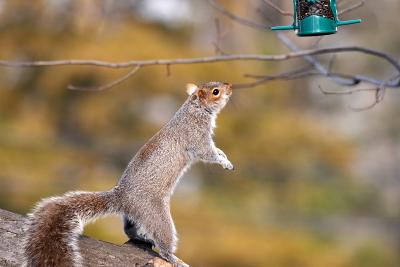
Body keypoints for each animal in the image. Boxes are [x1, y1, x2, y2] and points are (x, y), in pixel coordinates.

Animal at [22, 82, 234, 267]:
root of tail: (121, 197)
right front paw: (224, 161)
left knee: (129, 229)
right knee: (163, 243)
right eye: (215, 91)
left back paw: (142, 237)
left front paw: (224, 156)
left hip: (134, 215)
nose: (230, 87)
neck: (194, 109)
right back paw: (174, 259)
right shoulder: (195, 136)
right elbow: (207, 152)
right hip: (155, 213)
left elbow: (215, 150)